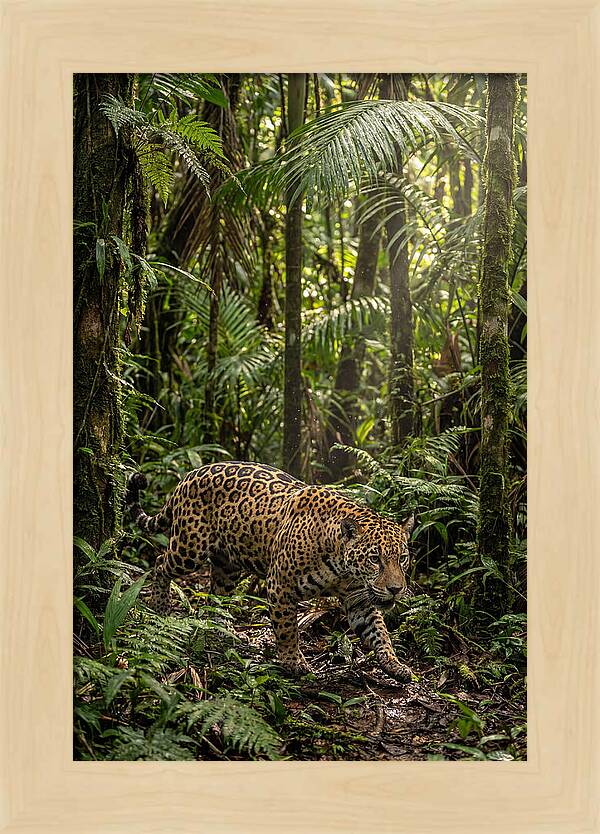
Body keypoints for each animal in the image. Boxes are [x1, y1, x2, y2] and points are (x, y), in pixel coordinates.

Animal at [126, 461, 415, 682]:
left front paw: (395, 665)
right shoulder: (281, 587)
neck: (342, 568)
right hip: (189, 548)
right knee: (160, 563)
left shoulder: (359, 600)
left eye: (401, 558)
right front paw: (293, 663)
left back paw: (223, 629)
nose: (396, 589)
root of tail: (189, 475)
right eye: (375, 559)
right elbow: (287, 629)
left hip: (227, 566)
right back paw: (160, 606)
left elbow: (379, 632)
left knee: (217, 594)